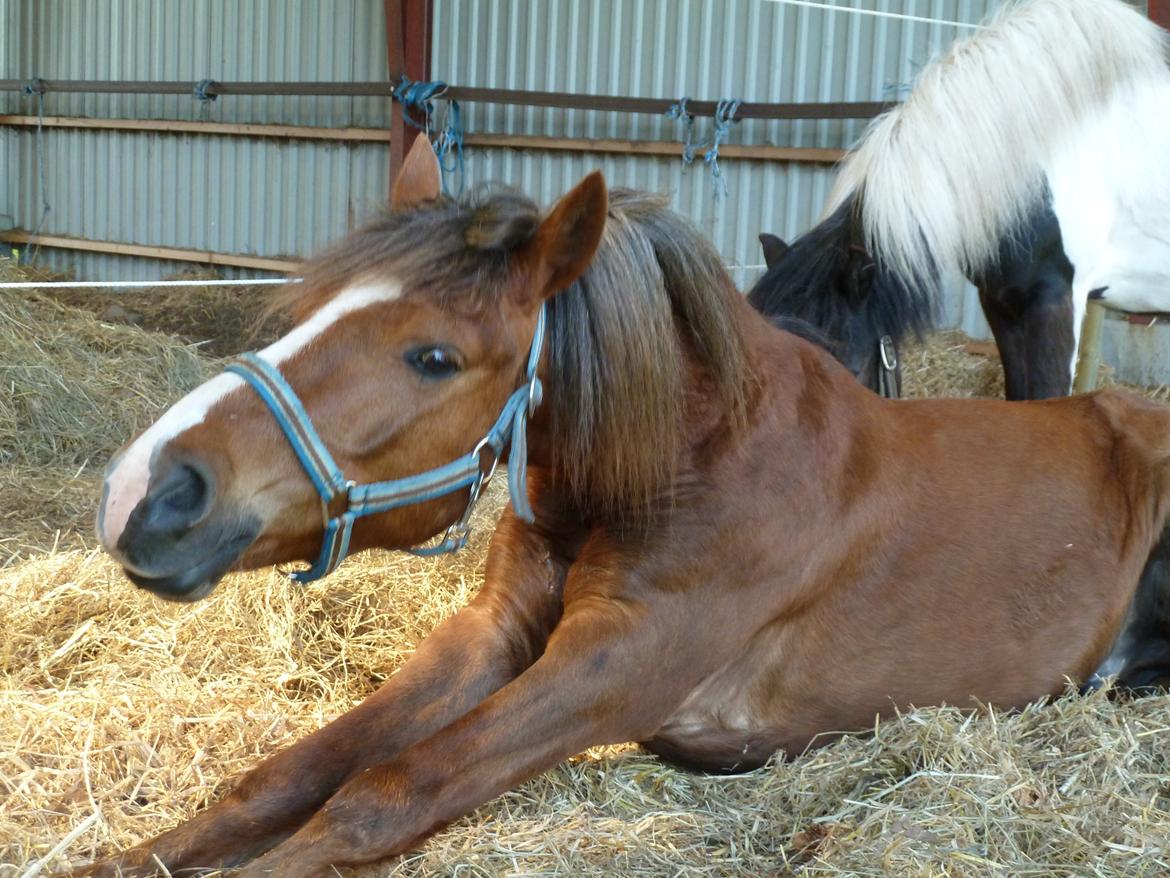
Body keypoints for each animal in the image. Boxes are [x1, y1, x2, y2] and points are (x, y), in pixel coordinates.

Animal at [74, 139, 1170, 878]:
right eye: (306, 313)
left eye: (433, 355)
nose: (146, 493)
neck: (695, 461)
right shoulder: (496, 632)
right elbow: (287, 775)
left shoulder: (622, 659)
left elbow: (382, 791)